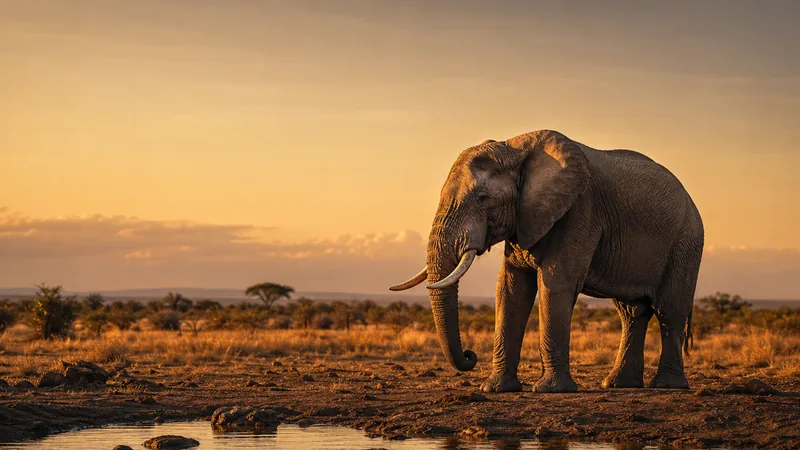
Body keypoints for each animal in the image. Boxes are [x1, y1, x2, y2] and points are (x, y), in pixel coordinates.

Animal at [390, 130, 703, 393]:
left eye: (483, 198)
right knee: (632, 313)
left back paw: (667, 386)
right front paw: (495, 389)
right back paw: (617, 385)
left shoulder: (579, 210)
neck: (515, 148)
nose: (470, 355)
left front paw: (550, 390)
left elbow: (556, 283)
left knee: (669, 311)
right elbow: (510, 289)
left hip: (686, 242)